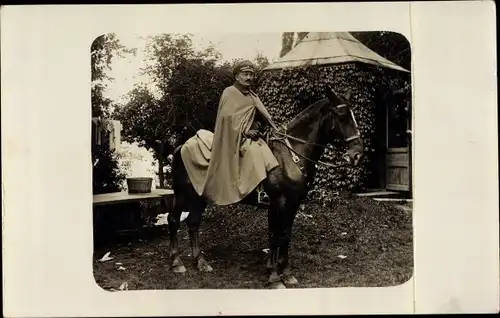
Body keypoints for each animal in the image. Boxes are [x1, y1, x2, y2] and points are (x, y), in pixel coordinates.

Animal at [167, 87, 364, 288]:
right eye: (342, 115)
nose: (357, 154)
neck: (289, 156)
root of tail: (181, 147)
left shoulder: (294, 203)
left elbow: (285, 235)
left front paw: (286, 272)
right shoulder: (277, 202)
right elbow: (274, 235)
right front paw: (274, 275)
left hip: (200, 197)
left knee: (193, 223)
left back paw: (200, 262)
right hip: (182, 195)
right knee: (174, 220)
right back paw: (177, 262)